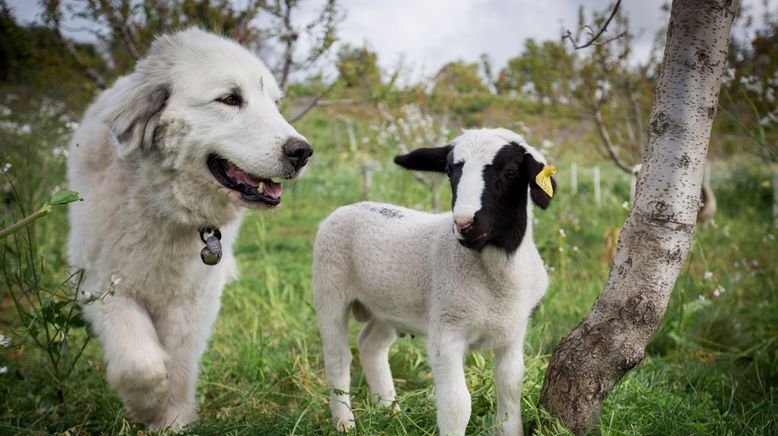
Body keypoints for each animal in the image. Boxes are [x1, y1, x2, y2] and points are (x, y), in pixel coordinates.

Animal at [66, 28, 310, 430]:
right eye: (230, 98)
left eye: (275, 104)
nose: (303, 151)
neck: (162, 206)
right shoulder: (103, 287)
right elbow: (141, 364)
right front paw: (145, 405)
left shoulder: (190, 303)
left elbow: (180, 365)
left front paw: (172, 420)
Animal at [312, 127, 556, 434]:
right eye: (450, 171)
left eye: (511, 172)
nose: (464, 224)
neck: (496, 278)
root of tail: (350, 207)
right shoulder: (446, 331)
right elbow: (457, 405)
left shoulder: (513, 333)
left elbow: (511, 389)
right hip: (329, 288)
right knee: (337, 356)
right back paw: (345, 422)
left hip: (389, 305)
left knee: (370, 346)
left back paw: (390, 411)